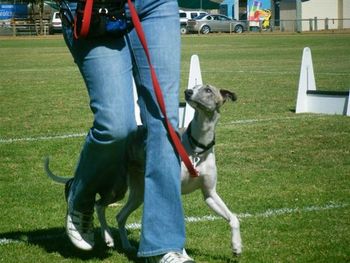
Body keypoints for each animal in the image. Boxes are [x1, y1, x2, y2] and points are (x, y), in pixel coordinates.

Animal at [45, 84, 242, 256]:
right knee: (99, 205)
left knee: (120, 216)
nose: (188, 92)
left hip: (138, 192)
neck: (197, 148)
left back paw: (126, 246)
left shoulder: (210, 194)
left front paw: (237, 246)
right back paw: (107, 237)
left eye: (208, 90)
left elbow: (233, 218)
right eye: (195, 87)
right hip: (118, 187)